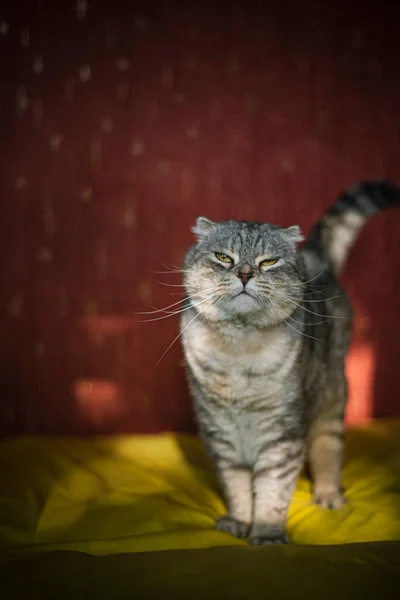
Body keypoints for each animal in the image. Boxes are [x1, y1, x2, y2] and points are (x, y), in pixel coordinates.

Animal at [181, 180, 400, 548]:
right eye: (224, 257)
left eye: (269, 261)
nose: (244, 273)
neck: (238, 350)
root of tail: (314, 256)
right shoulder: (221, 434)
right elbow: (237, 487)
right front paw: (239, 521)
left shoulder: (282, 435)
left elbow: (271, 490)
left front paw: (268, 534)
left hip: (332, 397)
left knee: (327, 448)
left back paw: (328, 496)